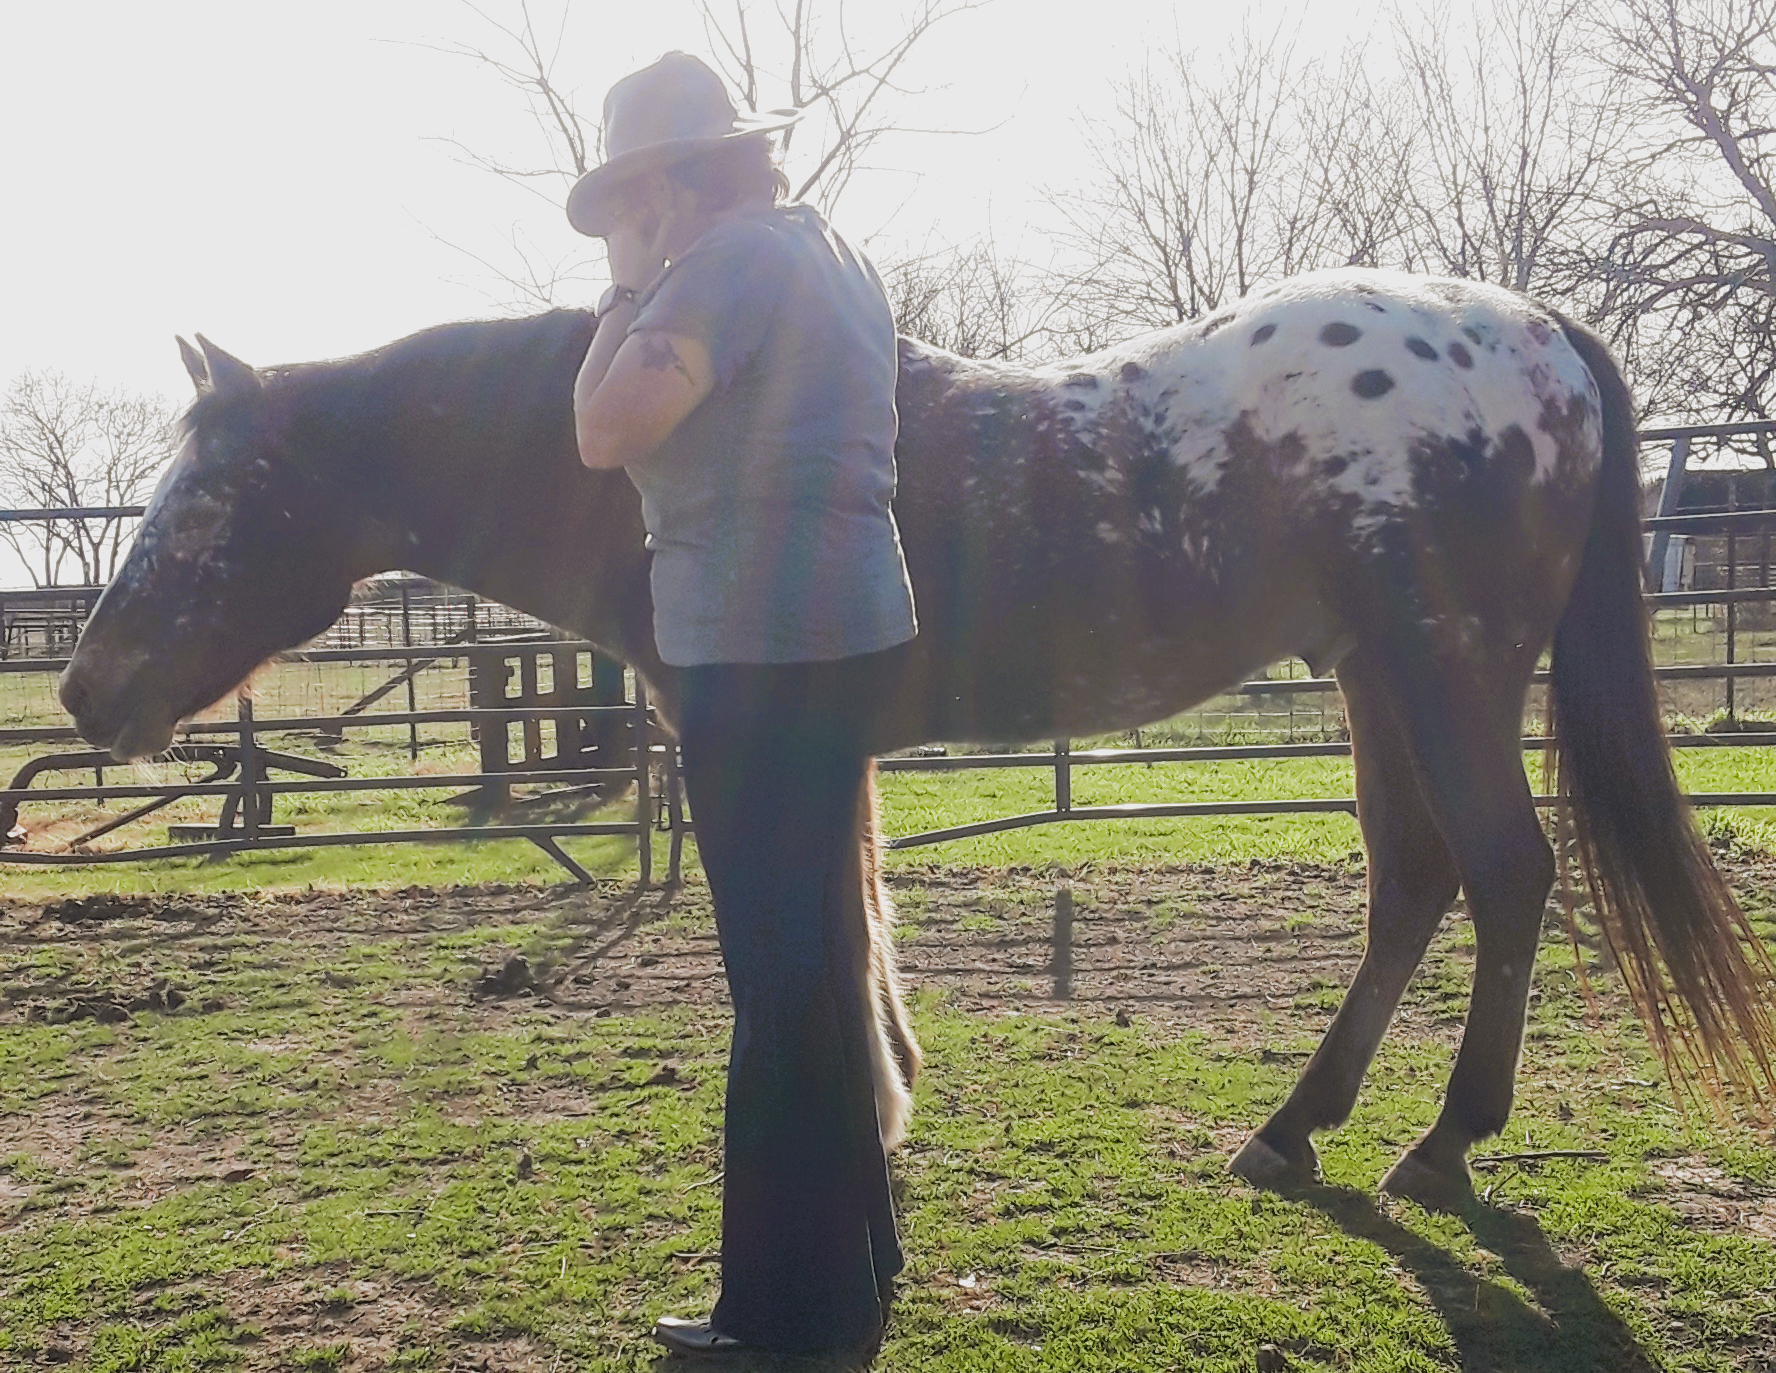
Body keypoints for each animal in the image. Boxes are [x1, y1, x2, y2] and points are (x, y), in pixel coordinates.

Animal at [58, 267, 1776, 1212]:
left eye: (206, 507)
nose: (85, 693)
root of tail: (1538, 332)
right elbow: (862, 919)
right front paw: (887, 1105)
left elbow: (819, 936)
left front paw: (858, 1129)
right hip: (1377, 684)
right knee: (1417, 883)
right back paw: (1296, 1131)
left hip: (1447, 672)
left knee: (1504, 872)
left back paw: (1441, 1144)